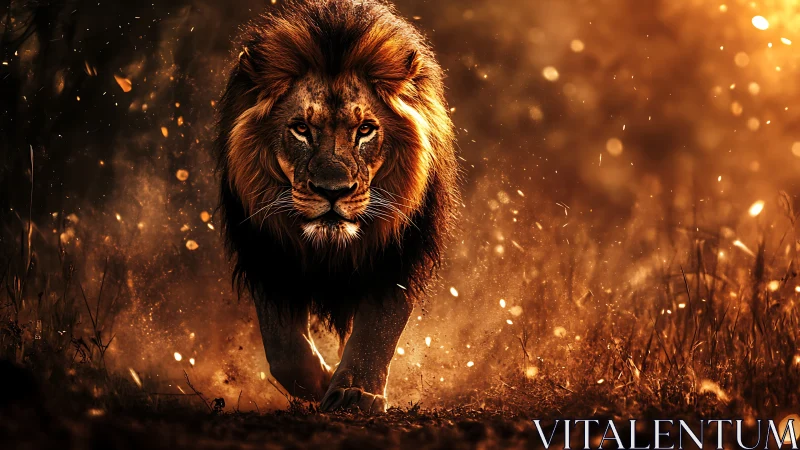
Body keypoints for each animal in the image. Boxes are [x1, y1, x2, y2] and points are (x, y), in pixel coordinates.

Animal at [215, 0, 459, 413]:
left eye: (365, 130)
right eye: (301, 129)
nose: (333, 191)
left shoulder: (398, 253)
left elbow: (379, 326)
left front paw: (355, 392)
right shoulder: (267, 251)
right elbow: (284, 350)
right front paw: (323, 382)